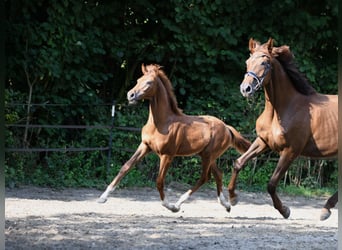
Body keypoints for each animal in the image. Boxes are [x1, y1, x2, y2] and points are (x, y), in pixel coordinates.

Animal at [97, 63, 250, 212]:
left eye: (149, 82)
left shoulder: (167, 155)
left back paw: (178, 204)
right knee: (218, 174)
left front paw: (168, 205)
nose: (130, 95)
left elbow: (159, 181)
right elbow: (126, 167)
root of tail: (227, 127)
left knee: (204, 177)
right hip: (207, 155)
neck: (161, 123)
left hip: (208, 155)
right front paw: (102, 198)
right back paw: (227, 204)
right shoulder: (145, 146)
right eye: (138, 80)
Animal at [228, 38, 338, 220]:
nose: (246, 89)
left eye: (264, 62)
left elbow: (271, 184)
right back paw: (326, 209)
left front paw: (285, 210)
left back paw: (325, 209)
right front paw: (232, 198)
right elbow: (238, 163)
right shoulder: (263, 142)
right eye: (247, 62)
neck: (282, 109)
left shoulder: (290, 151)